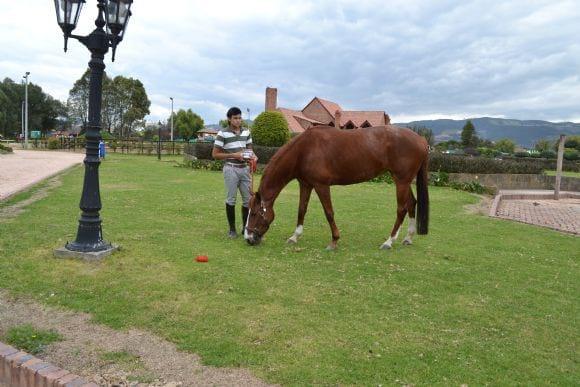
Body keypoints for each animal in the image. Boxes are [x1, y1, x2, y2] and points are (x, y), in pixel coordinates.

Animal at [242, 125, 428, 252]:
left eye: (256, 213)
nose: (249, 238)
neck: (304, 150)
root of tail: (421, 140)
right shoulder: (306, 184)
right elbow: (301, 210)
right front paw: (295, 237)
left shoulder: (322, 186)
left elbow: (329, 213)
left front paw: (334, 241)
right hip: (403, 181)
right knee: (412, 203)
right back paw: (408, 238)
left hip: (401, 181)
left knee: (401, 209)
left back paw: (389, 241)